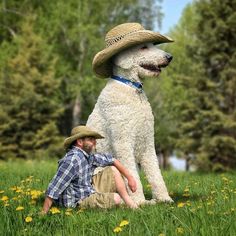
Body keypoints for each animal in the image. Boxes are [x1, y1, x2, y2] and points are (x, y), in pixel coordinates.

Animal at [86, 22, 173, 205]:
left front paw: (164, 199)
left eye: (153, 44)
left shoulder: (147, 142)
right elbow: (132, 175)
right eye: (143, 47)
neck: (131, 88)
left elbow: (155, 173)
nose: (170, 57)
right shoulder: (123, 142)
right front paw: (139, 201)